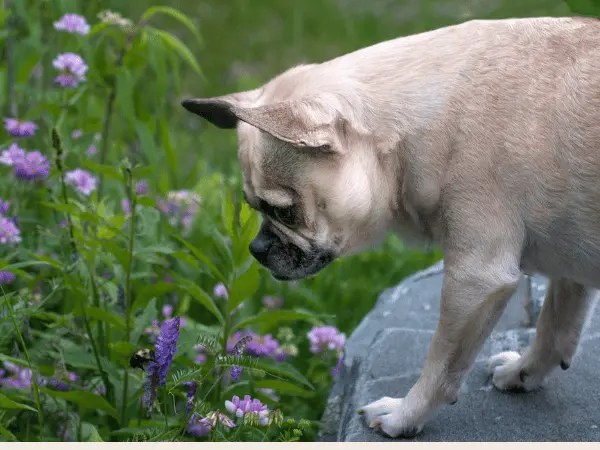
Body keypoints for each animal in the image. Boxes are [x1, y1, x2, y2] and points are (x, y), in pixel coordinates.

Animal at [180, 16, 600, 436]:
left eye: (283, 212)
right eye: (253, 207)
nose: (257, 248)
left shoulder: (476, 280)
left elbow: (441, 366)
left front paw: (404, 415)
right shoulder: (571, 271)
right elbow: (555, 331)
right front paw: (523, 372)